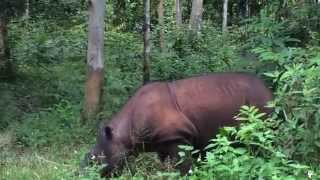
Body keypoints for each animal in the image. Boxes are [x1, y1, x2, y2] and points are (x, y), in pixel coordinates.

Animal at [80, 72, 272, 176]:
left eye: (96, 161)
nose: (82, 172)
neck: (124, 133)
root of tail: (268, 89)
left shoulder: (177, 137)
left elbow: (184, 166)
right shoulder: (162, 141)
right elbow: (169, 166)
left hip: (260, 102)